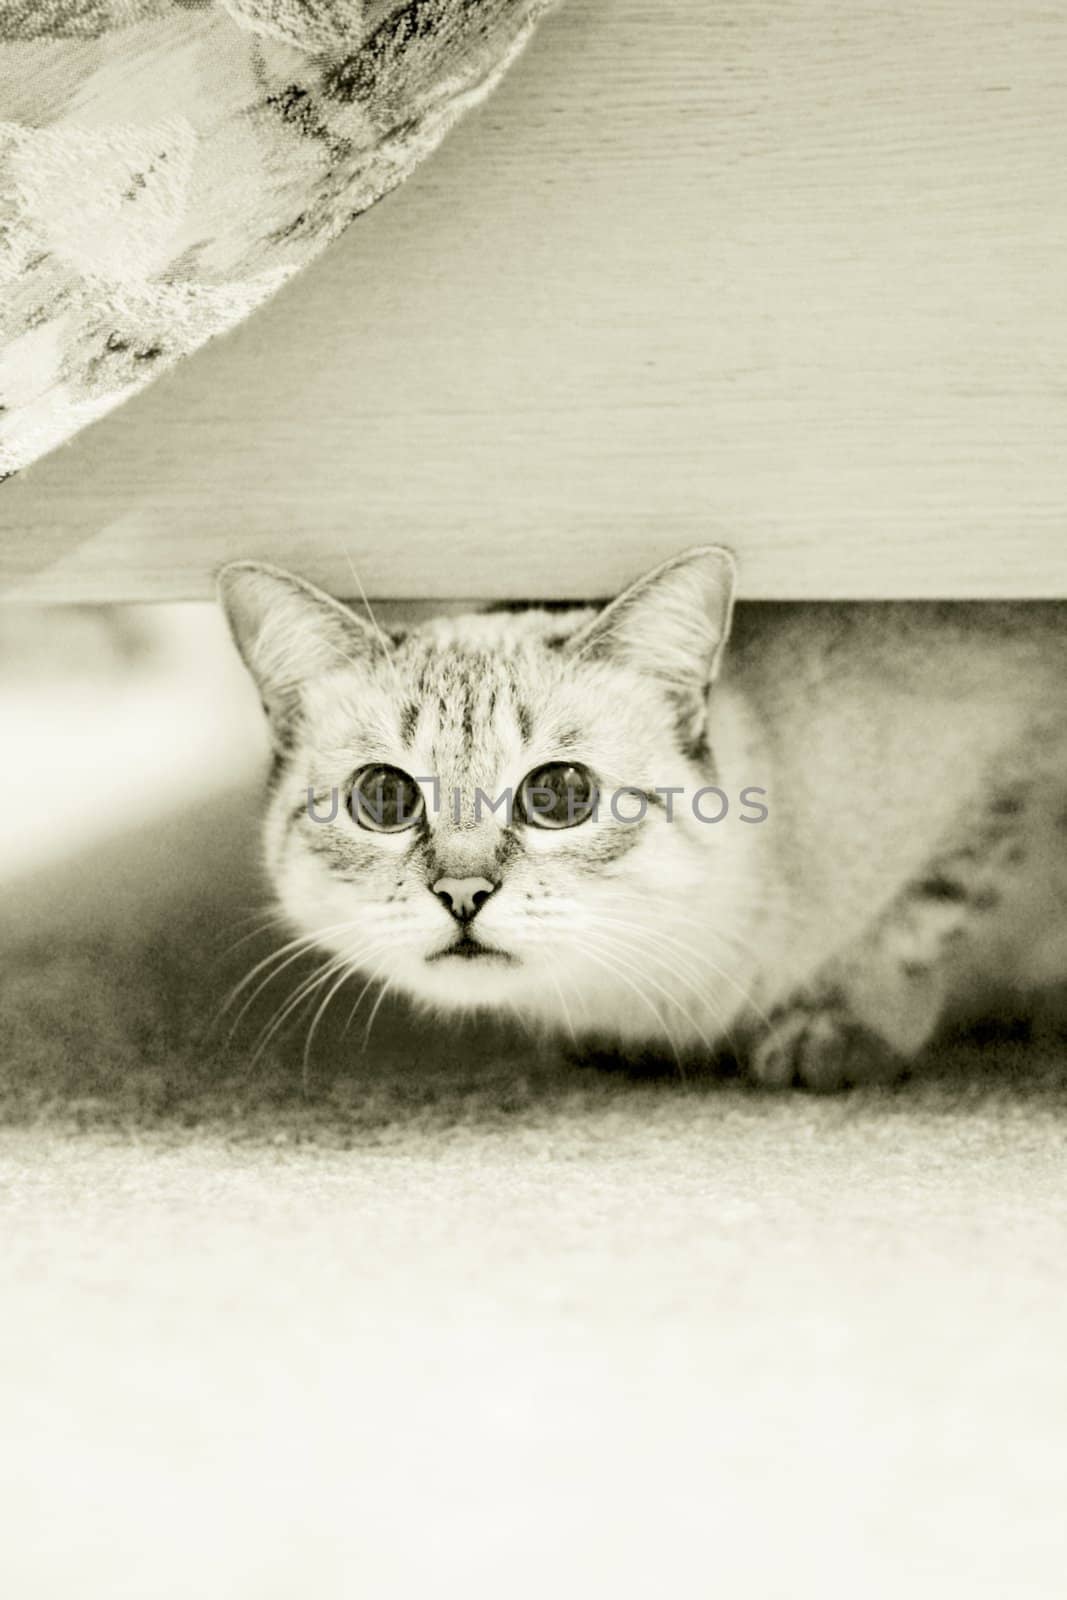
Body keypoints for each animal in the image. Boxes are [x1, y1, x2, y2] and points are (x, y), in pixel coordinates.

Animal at [217, 550, 1067, 1088]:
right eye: (384, 799)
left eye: (559, 794)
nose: (462, 895)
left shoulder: (1016, 760)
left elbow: (919, 922)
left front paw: (839, 1035)